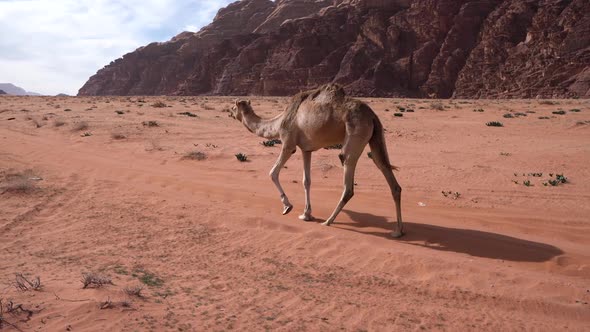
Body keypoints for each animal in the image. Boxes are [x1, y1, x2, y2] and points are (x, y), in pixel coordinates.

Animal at [231, 83, 408, 239]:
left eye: (234, 107)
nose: (230, 113)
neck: (279, 121)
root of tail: (372, 116)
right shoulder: (306, 149)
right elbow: (306, 180)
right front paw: (306, 214)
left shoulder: (288, 144)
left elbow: (273, 172)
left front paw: (287, 206)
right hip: (376, 138)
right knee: (387, 173)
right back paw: (398, 231)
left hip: (355, 135)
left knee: (348, 178)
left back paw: (328, 221)